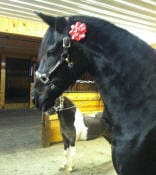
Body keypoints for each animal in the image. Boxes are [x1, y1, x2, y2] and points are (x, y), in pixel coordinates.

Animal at [31, 12, 156, 175]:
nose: (35, 97)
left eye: (50, 52)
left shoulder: (72, 141)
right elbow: (65, 154)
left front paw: (70, 167)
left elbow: (71, 154)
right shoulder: (66, 141)